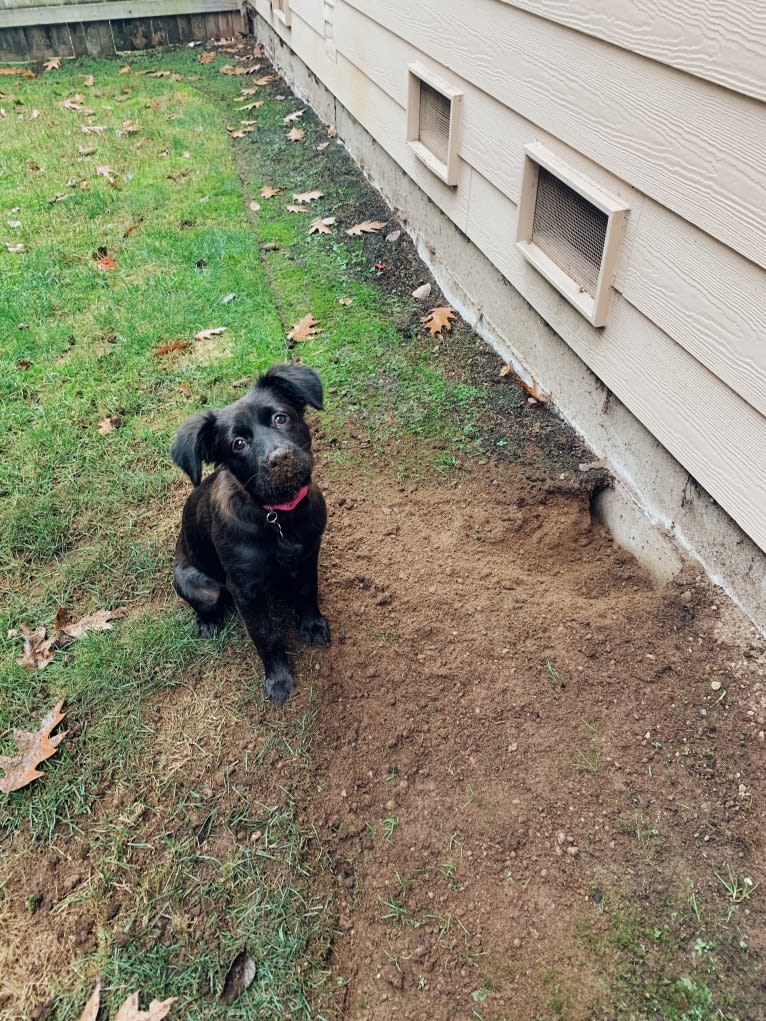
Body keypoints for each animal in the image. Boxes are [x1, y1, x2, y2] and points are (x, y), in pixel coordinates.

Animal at [170, 363, 330, 706]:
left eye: (280, 418)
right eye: (238, 444)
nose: (280, 458)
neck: (279, 517)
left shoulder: (309, 554)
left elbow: (307, 591)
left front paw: (311, 625)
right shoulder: (244, 589)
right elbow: (265, 636)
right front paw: (279, 679)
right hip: (201, 586)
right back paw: (208, 623)